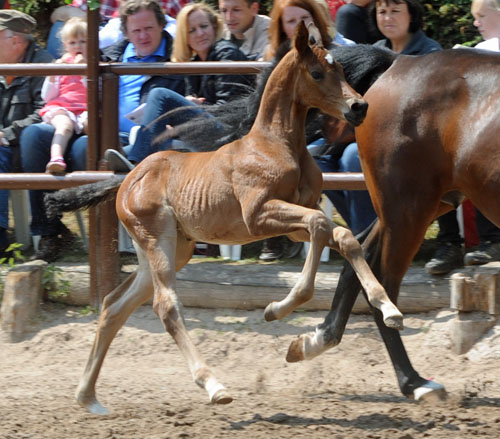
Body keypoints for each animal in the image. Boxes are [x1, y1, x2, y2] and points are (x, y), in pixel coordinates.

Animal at [44, 24, 402, 416]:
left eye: (341, 69)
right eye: (318, 72)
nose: (359, 106)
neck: (276, 144)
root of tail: (127, 178)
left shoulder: (294, 223)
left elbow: (342, 236)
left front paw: (388, 308)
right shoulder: (259, 215)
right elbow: (321, 227)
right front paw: (277, 308)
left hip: (172, 249)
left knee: (114, 305)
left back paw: (87, 396)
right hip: (158, 243)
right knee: (165, 306)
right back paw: (213, 385)